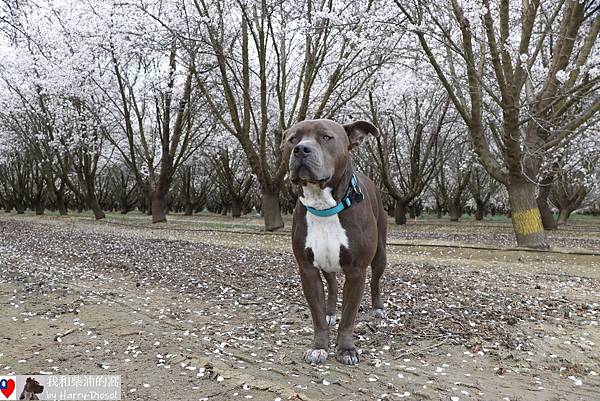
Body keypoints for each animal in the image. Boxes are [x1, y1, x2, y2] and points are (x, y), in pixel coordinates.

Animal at [278, 117, 386, 364]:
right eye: (293, 139)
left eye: (327, 137)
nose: (301, 149)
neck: (323, 206)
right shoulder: (307, 268)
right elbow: (316, 313)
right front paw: (319, 346)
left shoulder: (356, 270)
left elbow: (349, 316)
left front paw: (346, 349)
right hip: (326, 263)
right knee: (333, 286)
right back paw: (330, 312)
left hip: (380, 255)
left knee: (375, 281)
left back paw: (377, 307)